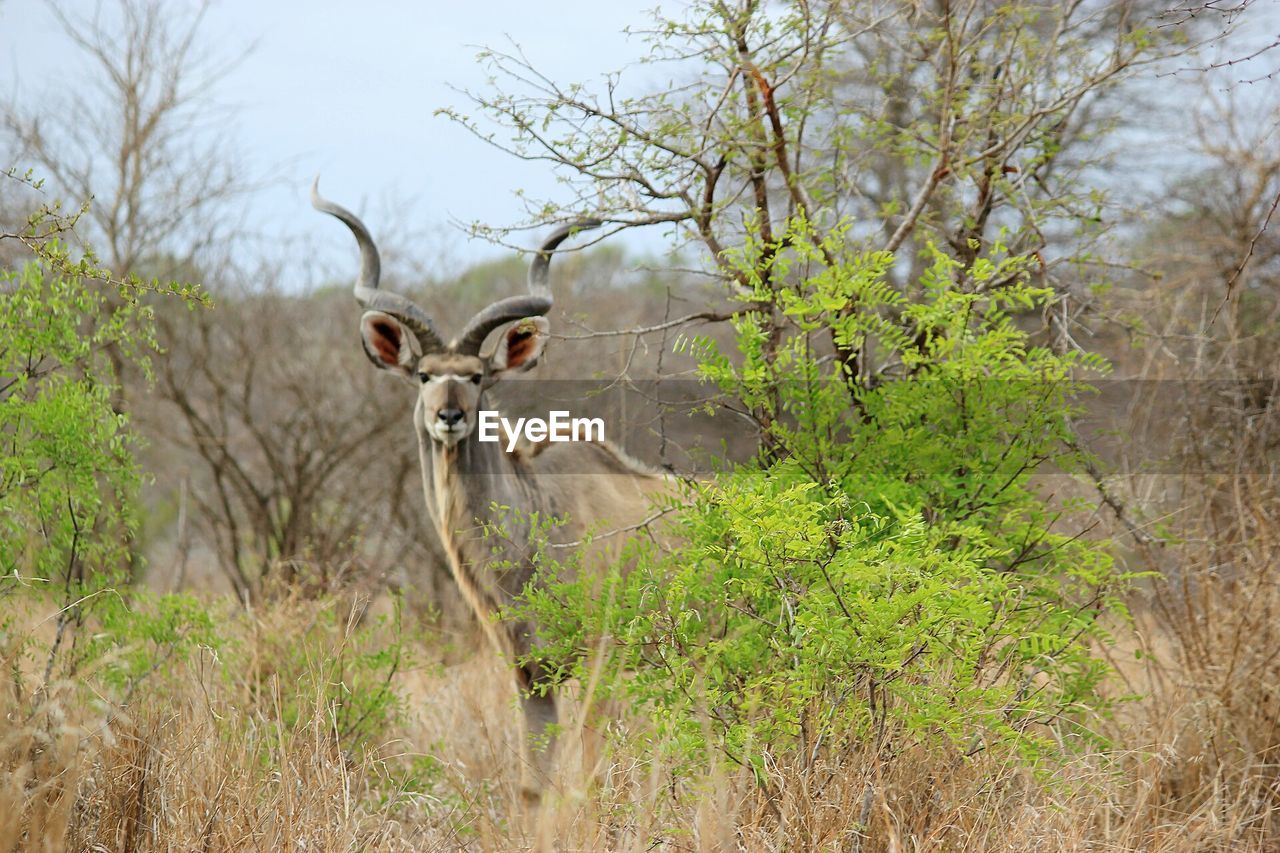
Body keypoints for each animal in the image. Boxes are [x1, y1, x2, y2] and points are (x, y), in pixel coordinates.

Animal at [312, 180, 670, 799]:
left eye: (477, 376)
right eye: (424, 375)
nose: (450, 416)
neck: (536, 526)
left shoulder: (600, 661)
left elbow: (590, 776)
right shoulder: (530, 675)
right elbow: (534, 787)